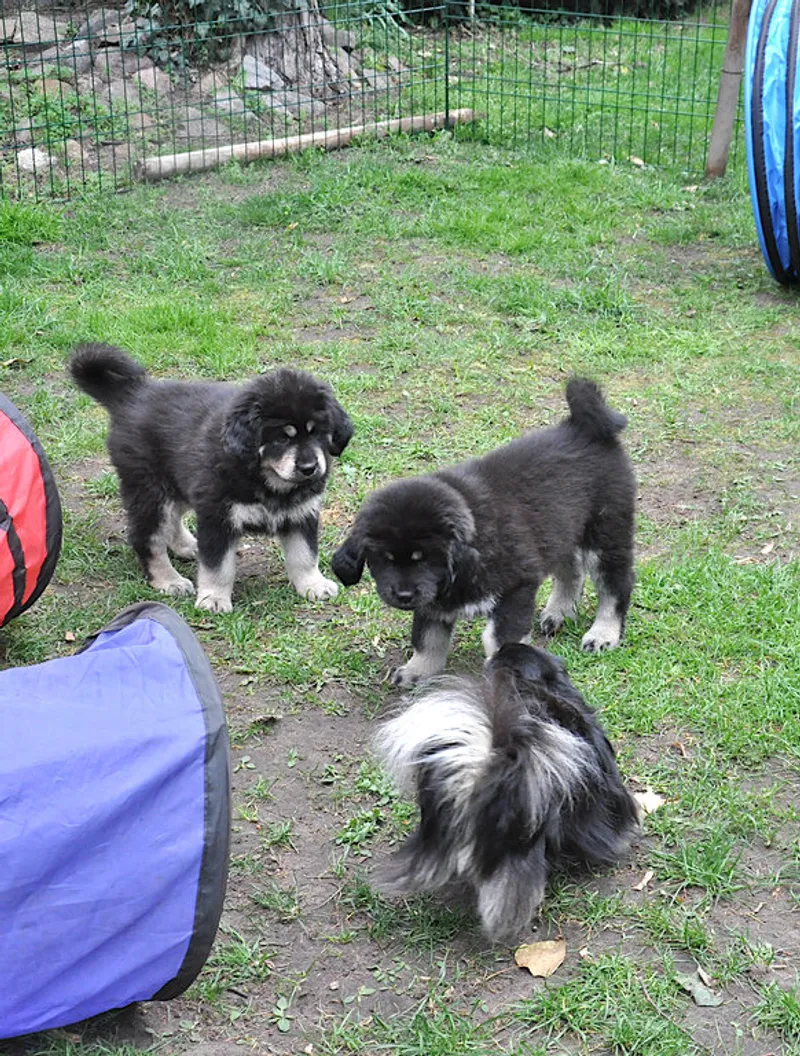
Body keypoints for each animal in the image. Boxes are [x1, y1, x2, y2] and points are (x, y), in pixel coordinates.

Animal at [70, 344, 353, 612]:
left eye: (318, 433)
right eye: (282, 438)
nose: (309, 468)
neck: (266, 480)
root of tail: (131, 394)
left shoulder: (302, 513)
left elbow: (305, 555)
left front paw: (313, 585)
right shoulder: (218, 517)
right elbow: (218, 566)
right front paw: (214, 599)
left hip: (178, 482)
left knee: (173, 519)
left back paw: (187, 545)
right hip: (150, 491)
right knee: (148, 538)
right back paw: (168, 580)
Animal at [331, 378, 635, 686]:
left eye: (423, 558)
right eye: (384, 560)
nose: (403, 595)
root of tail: (583, 426)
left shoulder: (517, 586)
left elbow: (499, 637)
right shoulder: (432, 601)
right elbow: (428, 638)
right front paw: (418, 671)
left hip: (605, 532)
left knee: (615, 585)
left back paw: (603, 634)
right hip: (561, 527)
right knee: (570, 568)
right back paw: (559, 611)